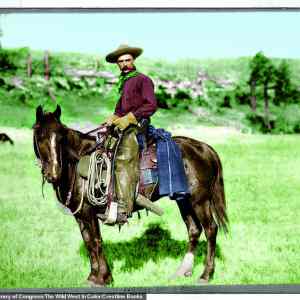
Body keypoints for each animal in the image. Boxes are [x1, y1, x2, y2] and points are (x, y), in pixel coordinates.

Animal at [32, 105, 229, 286]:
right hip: (184, 200)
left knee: (211, 229)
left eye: (61, 137)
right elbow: (88, 242)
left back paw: (206, 275)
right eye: (39, 136)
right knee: (194, 229)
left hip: (200, 200)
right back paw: (183, 271)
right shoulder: (80, 214)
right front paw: (94, 276)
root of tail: (205, 149)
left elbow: (96, 241)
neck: (76, 162)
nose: (53, 173)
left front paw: (103, 278)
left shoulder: (88, 212)